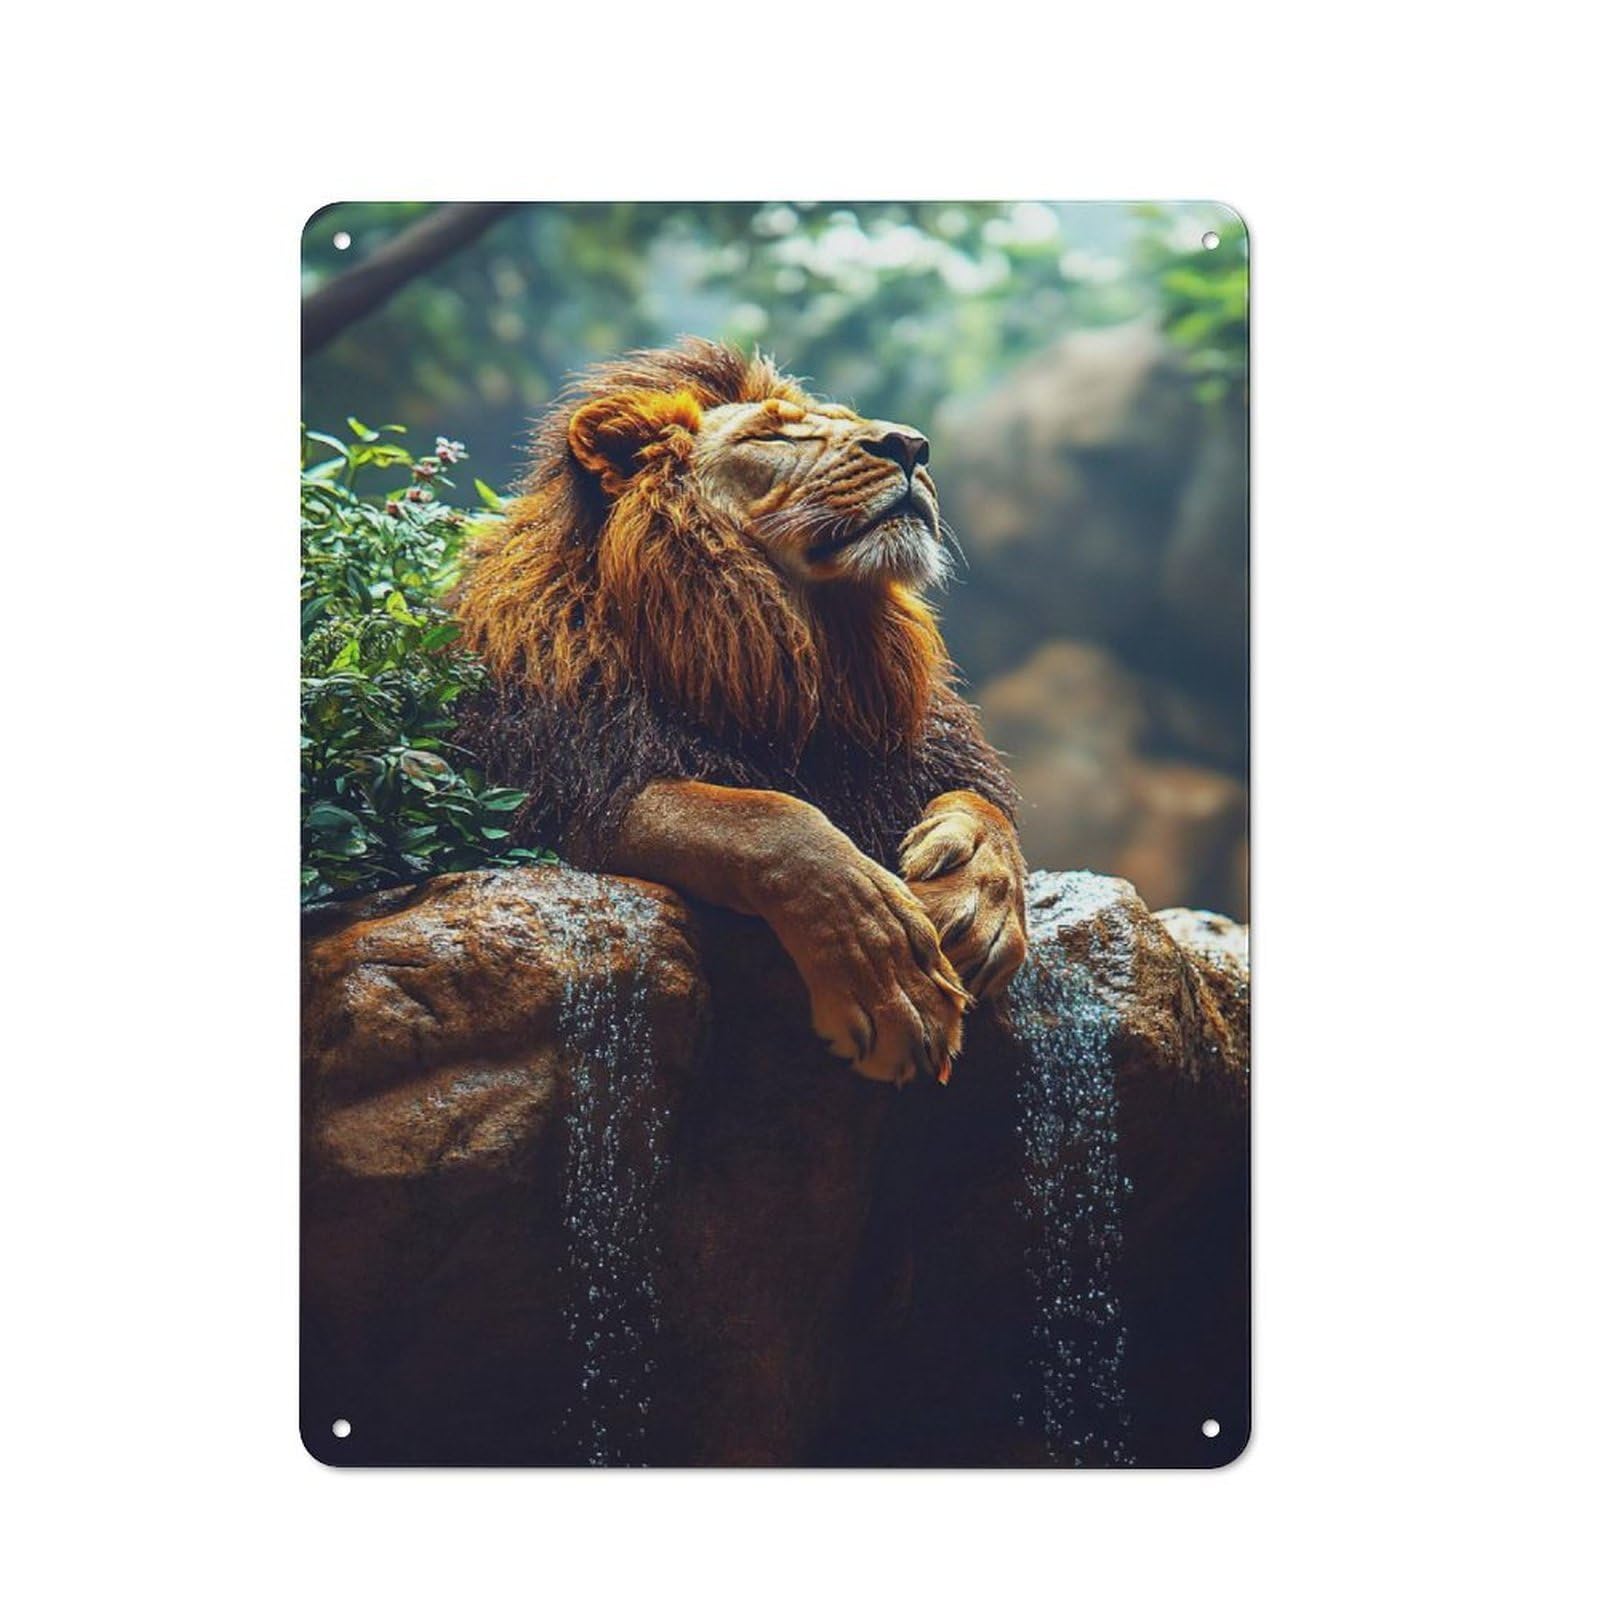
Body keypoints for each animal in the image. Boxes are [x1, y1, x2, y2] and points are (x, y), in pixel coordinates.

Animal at [455, 339, 1028, 1086]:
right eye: (774, 436)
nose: (911, 444)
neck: (811, 661)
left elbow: (982, 807)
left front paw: (982, 903)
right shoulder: (558, 790)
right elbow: (767, 821)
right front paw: (893, 979)